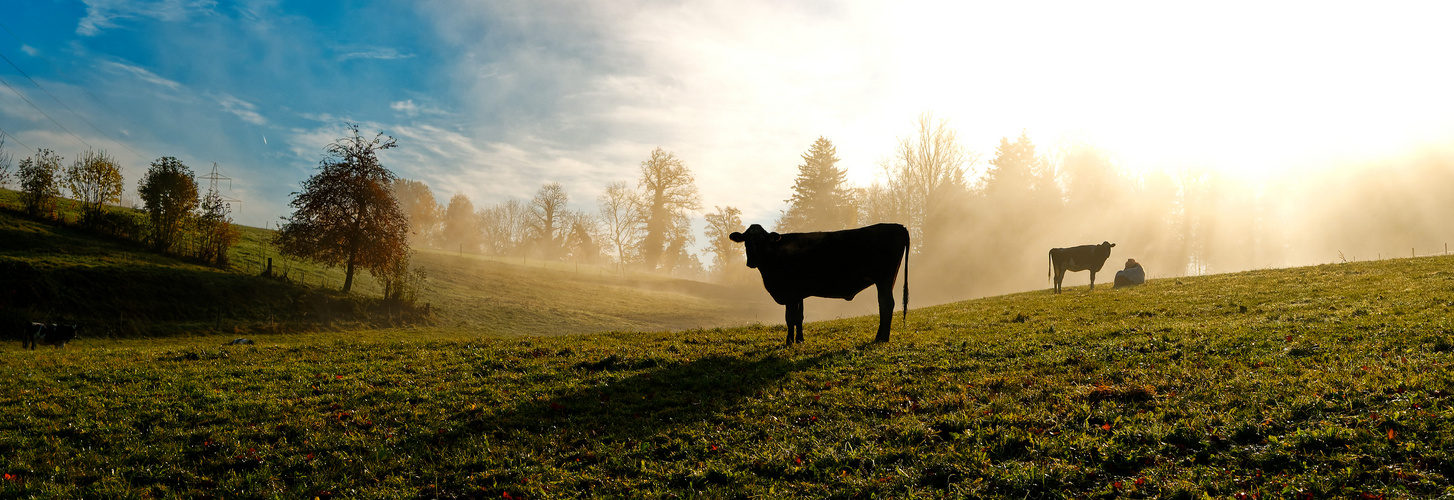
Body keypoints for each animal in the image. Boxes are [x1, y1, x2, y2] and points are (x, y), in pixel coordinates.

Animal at [727, 222, 907, 343]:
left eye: (762, 241)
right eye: (746, 241)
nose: (751, 261)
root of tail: (898, 226)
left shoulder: (790, 292)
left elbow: (790, 318)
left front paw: (789, 342)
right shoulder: (798, 294)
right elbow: (799, 317)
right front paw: (800, 340)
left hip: (884, 280)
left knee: (886, 304)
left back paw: (882, 338)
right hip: (886, 281)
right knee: (884, 305)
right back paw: (880, 337)